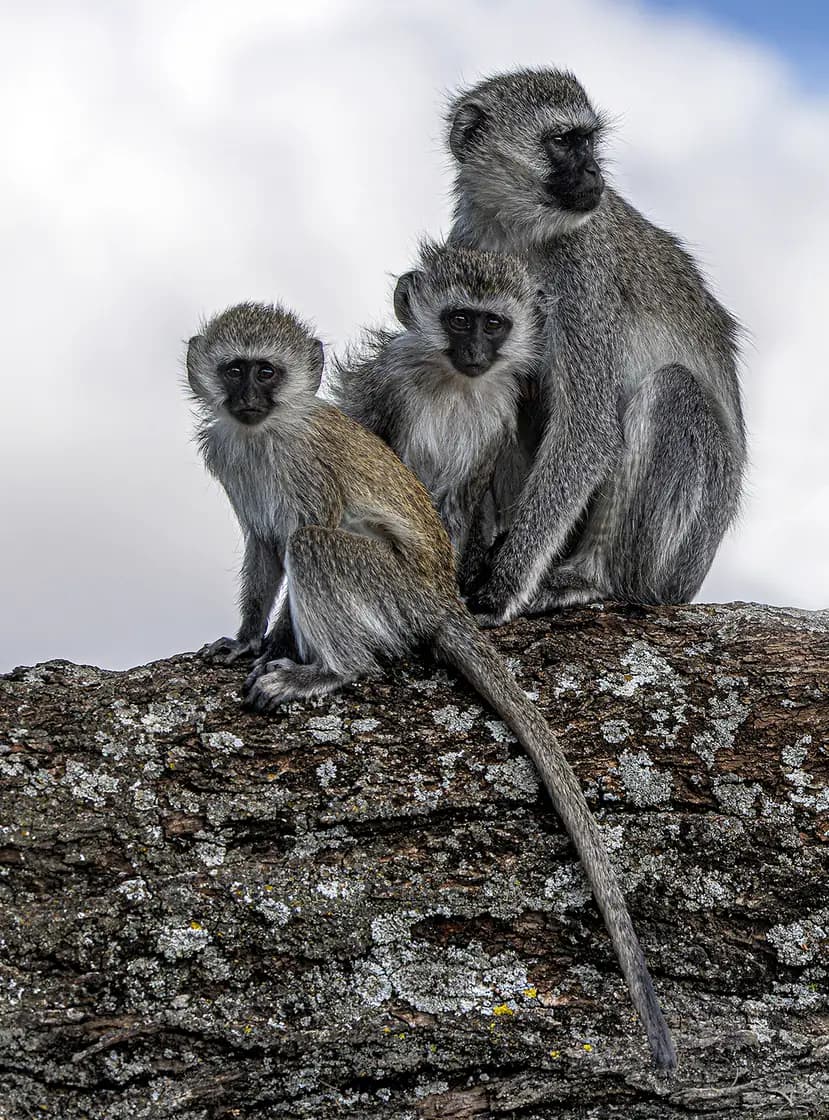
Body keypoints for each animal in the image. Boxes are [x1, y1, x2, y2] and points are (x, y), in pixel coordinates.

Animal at [185, 300, 677, 1070]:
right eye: (235, 369)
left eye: (266, 371)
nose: (248, 397)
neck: (264, 436)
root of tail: (441, 597)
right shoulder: (229, 457)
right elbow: (262, 549)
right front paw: (243, 639)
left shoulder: (307, 471)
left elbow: (301, 534)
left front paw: (278, 646)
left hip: (388, 591)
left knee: (315, 547)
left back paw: (329, 668)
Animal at [333, 241, 546, 590]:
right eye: (460, 319)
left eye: (492, 324)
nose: (474, 352)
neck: (454, 385)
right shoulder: (388, 382)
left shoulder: (499, 411)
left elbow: (458, 500)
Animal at [445, 68, 746, 625]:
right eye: (564, 142)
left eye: (589, 143)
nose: (593, 173)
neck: (518, 233)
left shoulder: (583, 276)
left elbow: (587, 429)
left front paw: (501, 588)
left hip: (680, 555)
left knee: (673, 391)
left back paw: (596, 577)